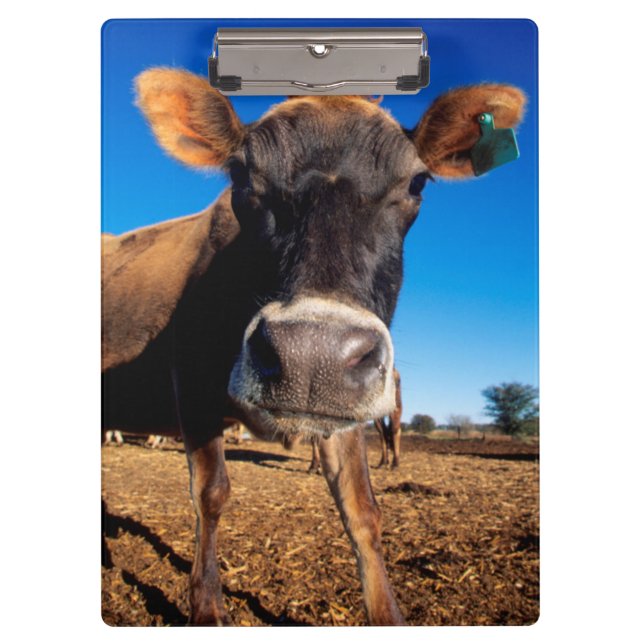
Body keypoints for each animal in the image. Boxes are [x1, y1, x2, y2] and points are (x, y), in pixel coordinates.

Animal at [102, 68, 525, 625]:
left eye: (417, 182)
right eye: (239, 175)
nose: (312, 355)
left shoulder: (344, 404)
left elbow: (362, 509)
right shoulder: (188, 379)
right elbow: (211, 494)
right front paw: (207, 608)